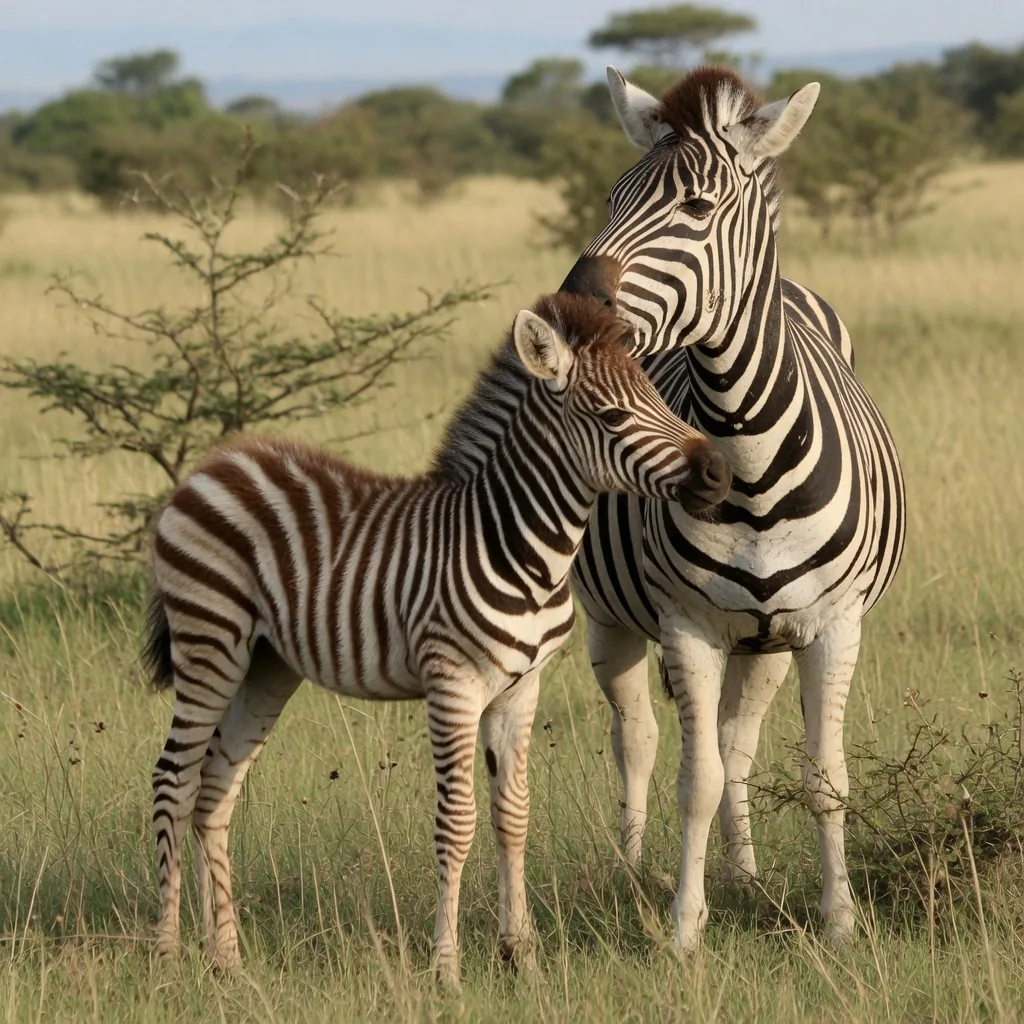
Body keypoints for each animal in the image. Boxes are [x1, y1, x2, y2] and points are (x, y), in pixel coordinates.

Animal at [141, 292, 731, 984]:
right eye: (613, 417)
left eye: (660, 398)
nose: (719, 471)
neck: (519, 545)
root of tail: (212, 464)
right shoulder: (452, 684)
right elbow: (458, 822)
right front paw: (446, 966)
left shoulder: (520, 688)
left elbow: (513, 815)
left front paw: (520, 955)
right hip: (210, 640)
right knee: (172, 783)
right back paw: (167, 955)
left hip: (265, 667)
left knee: (214, 791)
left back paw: (228, 961)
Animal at [559, 66, 906, 950]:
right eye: (611, 197)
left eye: (696, 208)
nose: (571, 309)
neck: (749, 465)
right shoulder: (685, 625)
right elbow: (695, 780)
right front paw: (684, 929)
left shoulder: (830, 625)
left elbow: (822, 775)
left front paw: (838, 921)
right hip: (610, 618)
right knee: (639, 739)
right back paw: (633, 871)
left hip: (768, 639)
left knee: (736, 740)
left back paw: (745, 875)